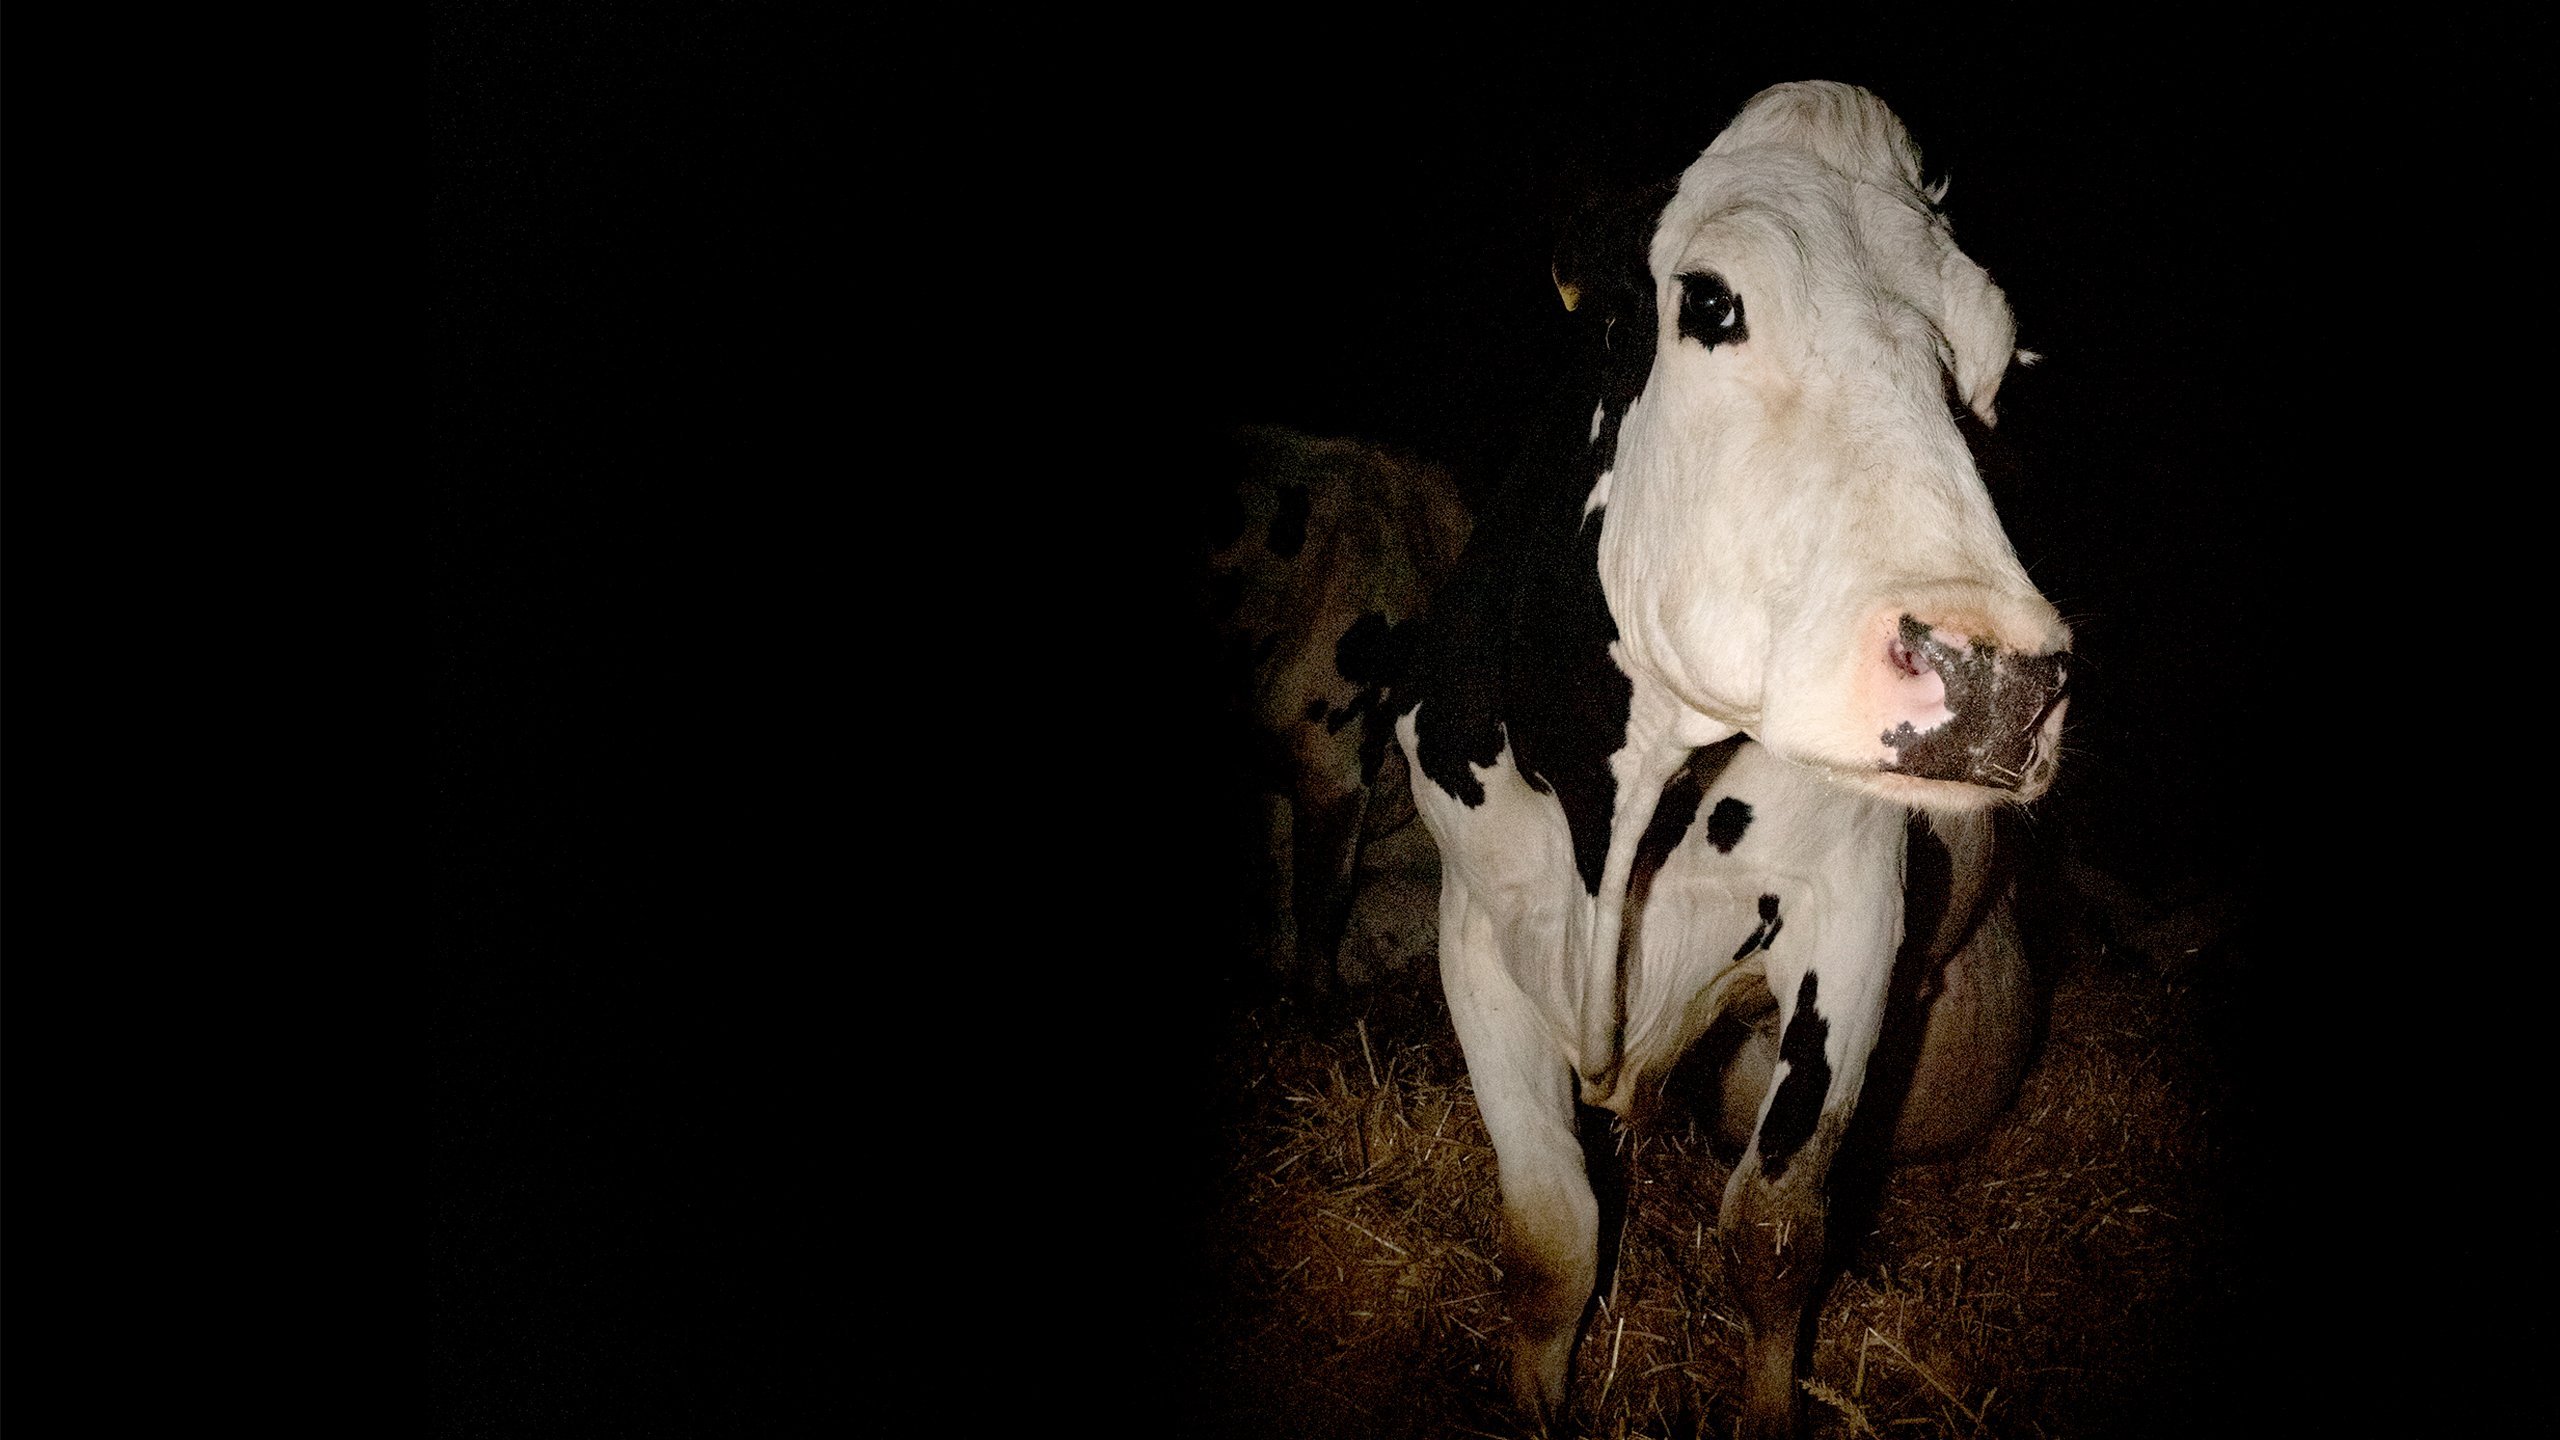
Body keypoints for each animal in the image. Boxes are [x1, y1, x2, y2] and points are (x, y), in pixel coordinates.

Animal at [1388, 83, 2070, 1439]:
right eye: (1709, 301)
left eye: (1992, 364)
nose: (1998, 678)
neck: (1617, 809)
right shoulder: (1475, 924)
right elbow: (1550, 1236)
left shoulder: (1850, 915)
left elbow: (1772, 1230)